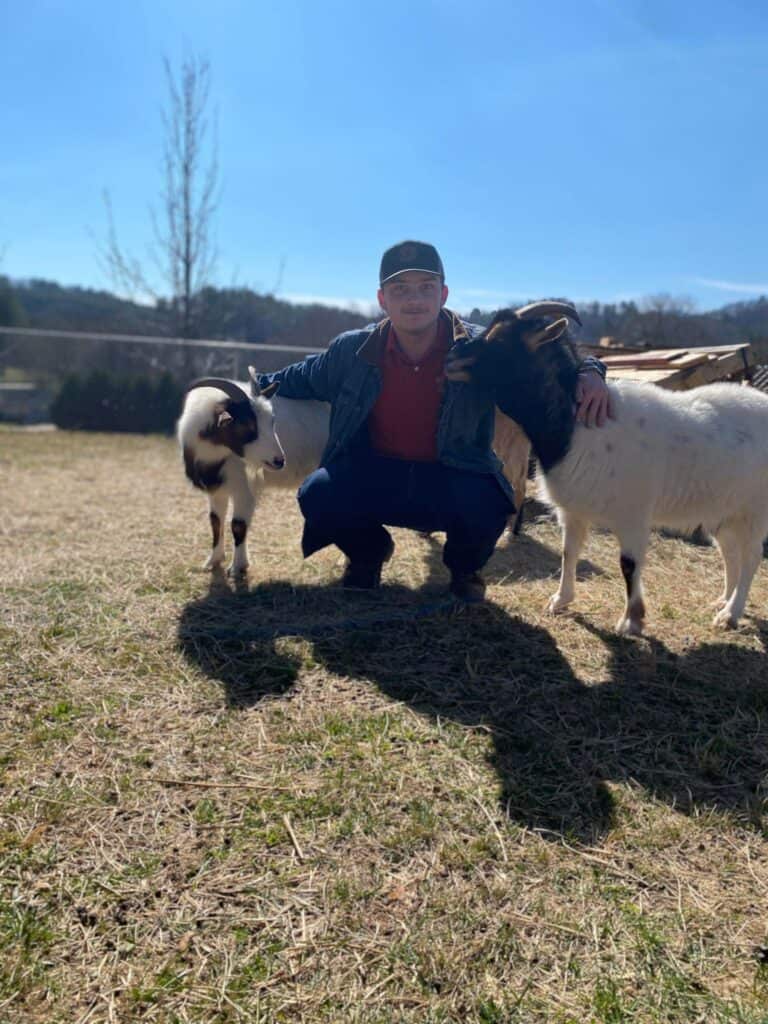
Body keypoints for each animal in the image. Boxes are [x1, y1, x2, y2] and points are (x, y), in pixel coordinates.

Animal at [177, 368, 328, 574]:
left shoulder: (243, 487)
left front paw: (237, 567)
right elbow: (215, 521)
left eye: (272, 421)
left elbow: (238, 525)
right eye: (246, 424)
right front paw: (213, 561)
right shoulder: (217, 488)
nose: (279, 460)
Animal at [465, 303, 768, 633]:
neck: (576, 425)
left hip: (754, 510)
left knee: (751, 557)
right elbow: (568, 552)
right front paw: (560, 601)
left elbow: (629, 565)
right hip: (723, 511)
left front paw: (631, 621)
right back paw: (722, 602)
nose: (454, 356)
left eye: (500, 341)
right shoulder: (573, 510)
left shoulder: (632, 514)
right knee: (730, 553)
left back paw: (730, 614)